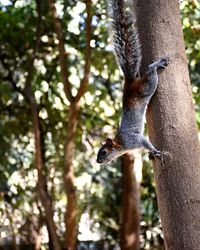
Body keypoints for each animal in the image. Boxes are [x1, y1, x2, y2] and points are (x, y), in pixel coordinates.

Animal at [96, 0, 169, 164]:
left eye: (104, 152)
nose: (97, 161)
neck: (121, 145)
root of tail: (130, 82)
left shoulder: (135, 140)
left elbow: (146, 142)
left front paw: (156, 151)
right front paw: (152, 153)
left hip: (146, 87)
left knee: (150, 71)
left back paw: (158, 64)